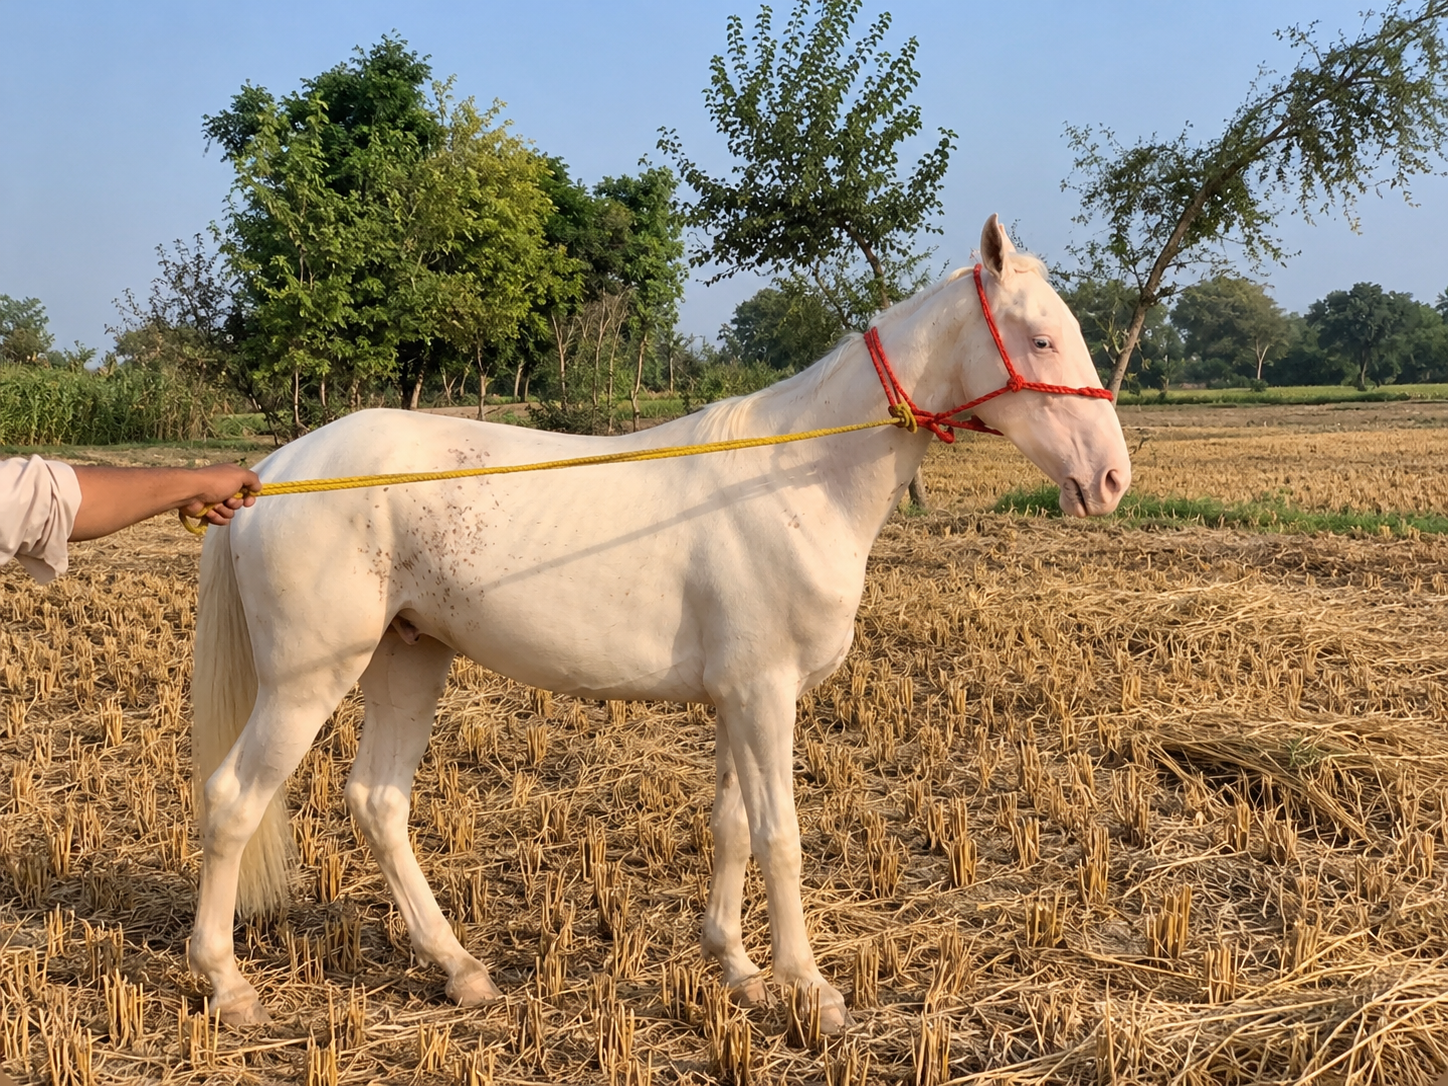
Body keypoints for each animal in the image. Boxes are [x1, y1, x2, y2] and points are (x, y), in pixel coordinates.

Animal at [187, 215, 1131, 1032]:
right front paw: (810, 988)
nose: (1111, 479)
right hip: (308, 678)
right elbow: (781, 835)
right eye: (1041, 340)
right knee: (234, 799)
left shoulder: (738, 699)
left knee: (378, 802)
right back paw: (226, 984)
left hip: (409, 660)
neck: (800, 476)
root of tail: (275, 470)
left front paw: (739, 971)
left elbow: (733, 826)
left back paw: (461, 969)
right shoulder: (764, 695)